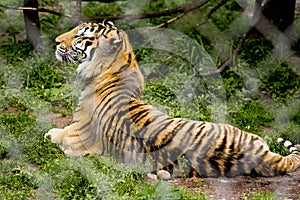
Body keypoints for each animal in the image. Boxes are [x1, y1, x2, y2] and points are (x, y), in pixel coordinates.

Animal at [44, 20, 300, 177]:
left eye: (80, 35)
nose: (55, 41)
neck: (121, 61)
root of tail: (262, 156)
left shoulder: (79, 134)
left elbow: (57, 133)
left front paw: (49, 134)